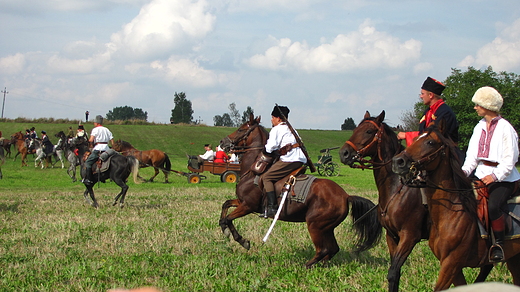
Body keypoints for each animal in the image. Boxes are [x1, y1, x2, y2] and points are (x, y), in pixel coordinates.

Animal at [217, 113, 384, 268]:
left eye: (240, 129)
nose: (222, 142)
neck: (254, 171)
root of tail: (346, 196)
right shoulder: (242, 202)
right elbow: (225, 205)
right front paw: (225, 229)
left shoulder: (248, 206)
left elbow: (228, 219)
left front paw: (241, 240)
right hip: (326, 228)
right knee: (333, 249)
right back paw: (321, 265)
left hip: (315, 226)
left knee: (323, 250)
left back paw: (307, 265)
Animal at [340, 110, 494, 290]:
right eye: (356, 129)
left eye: (369, 131)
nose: (343, 153)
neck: (398, 189)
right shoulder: (392, 236)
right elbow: (395, 272)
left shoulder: (409, 237)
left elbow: (393, 273)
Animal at [392, 121, 516, 290]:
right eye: (416, 138)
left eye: (430, 142)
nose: (398, 161)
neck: (451, 215)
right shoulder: (453, 267)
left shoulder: (451, 264)